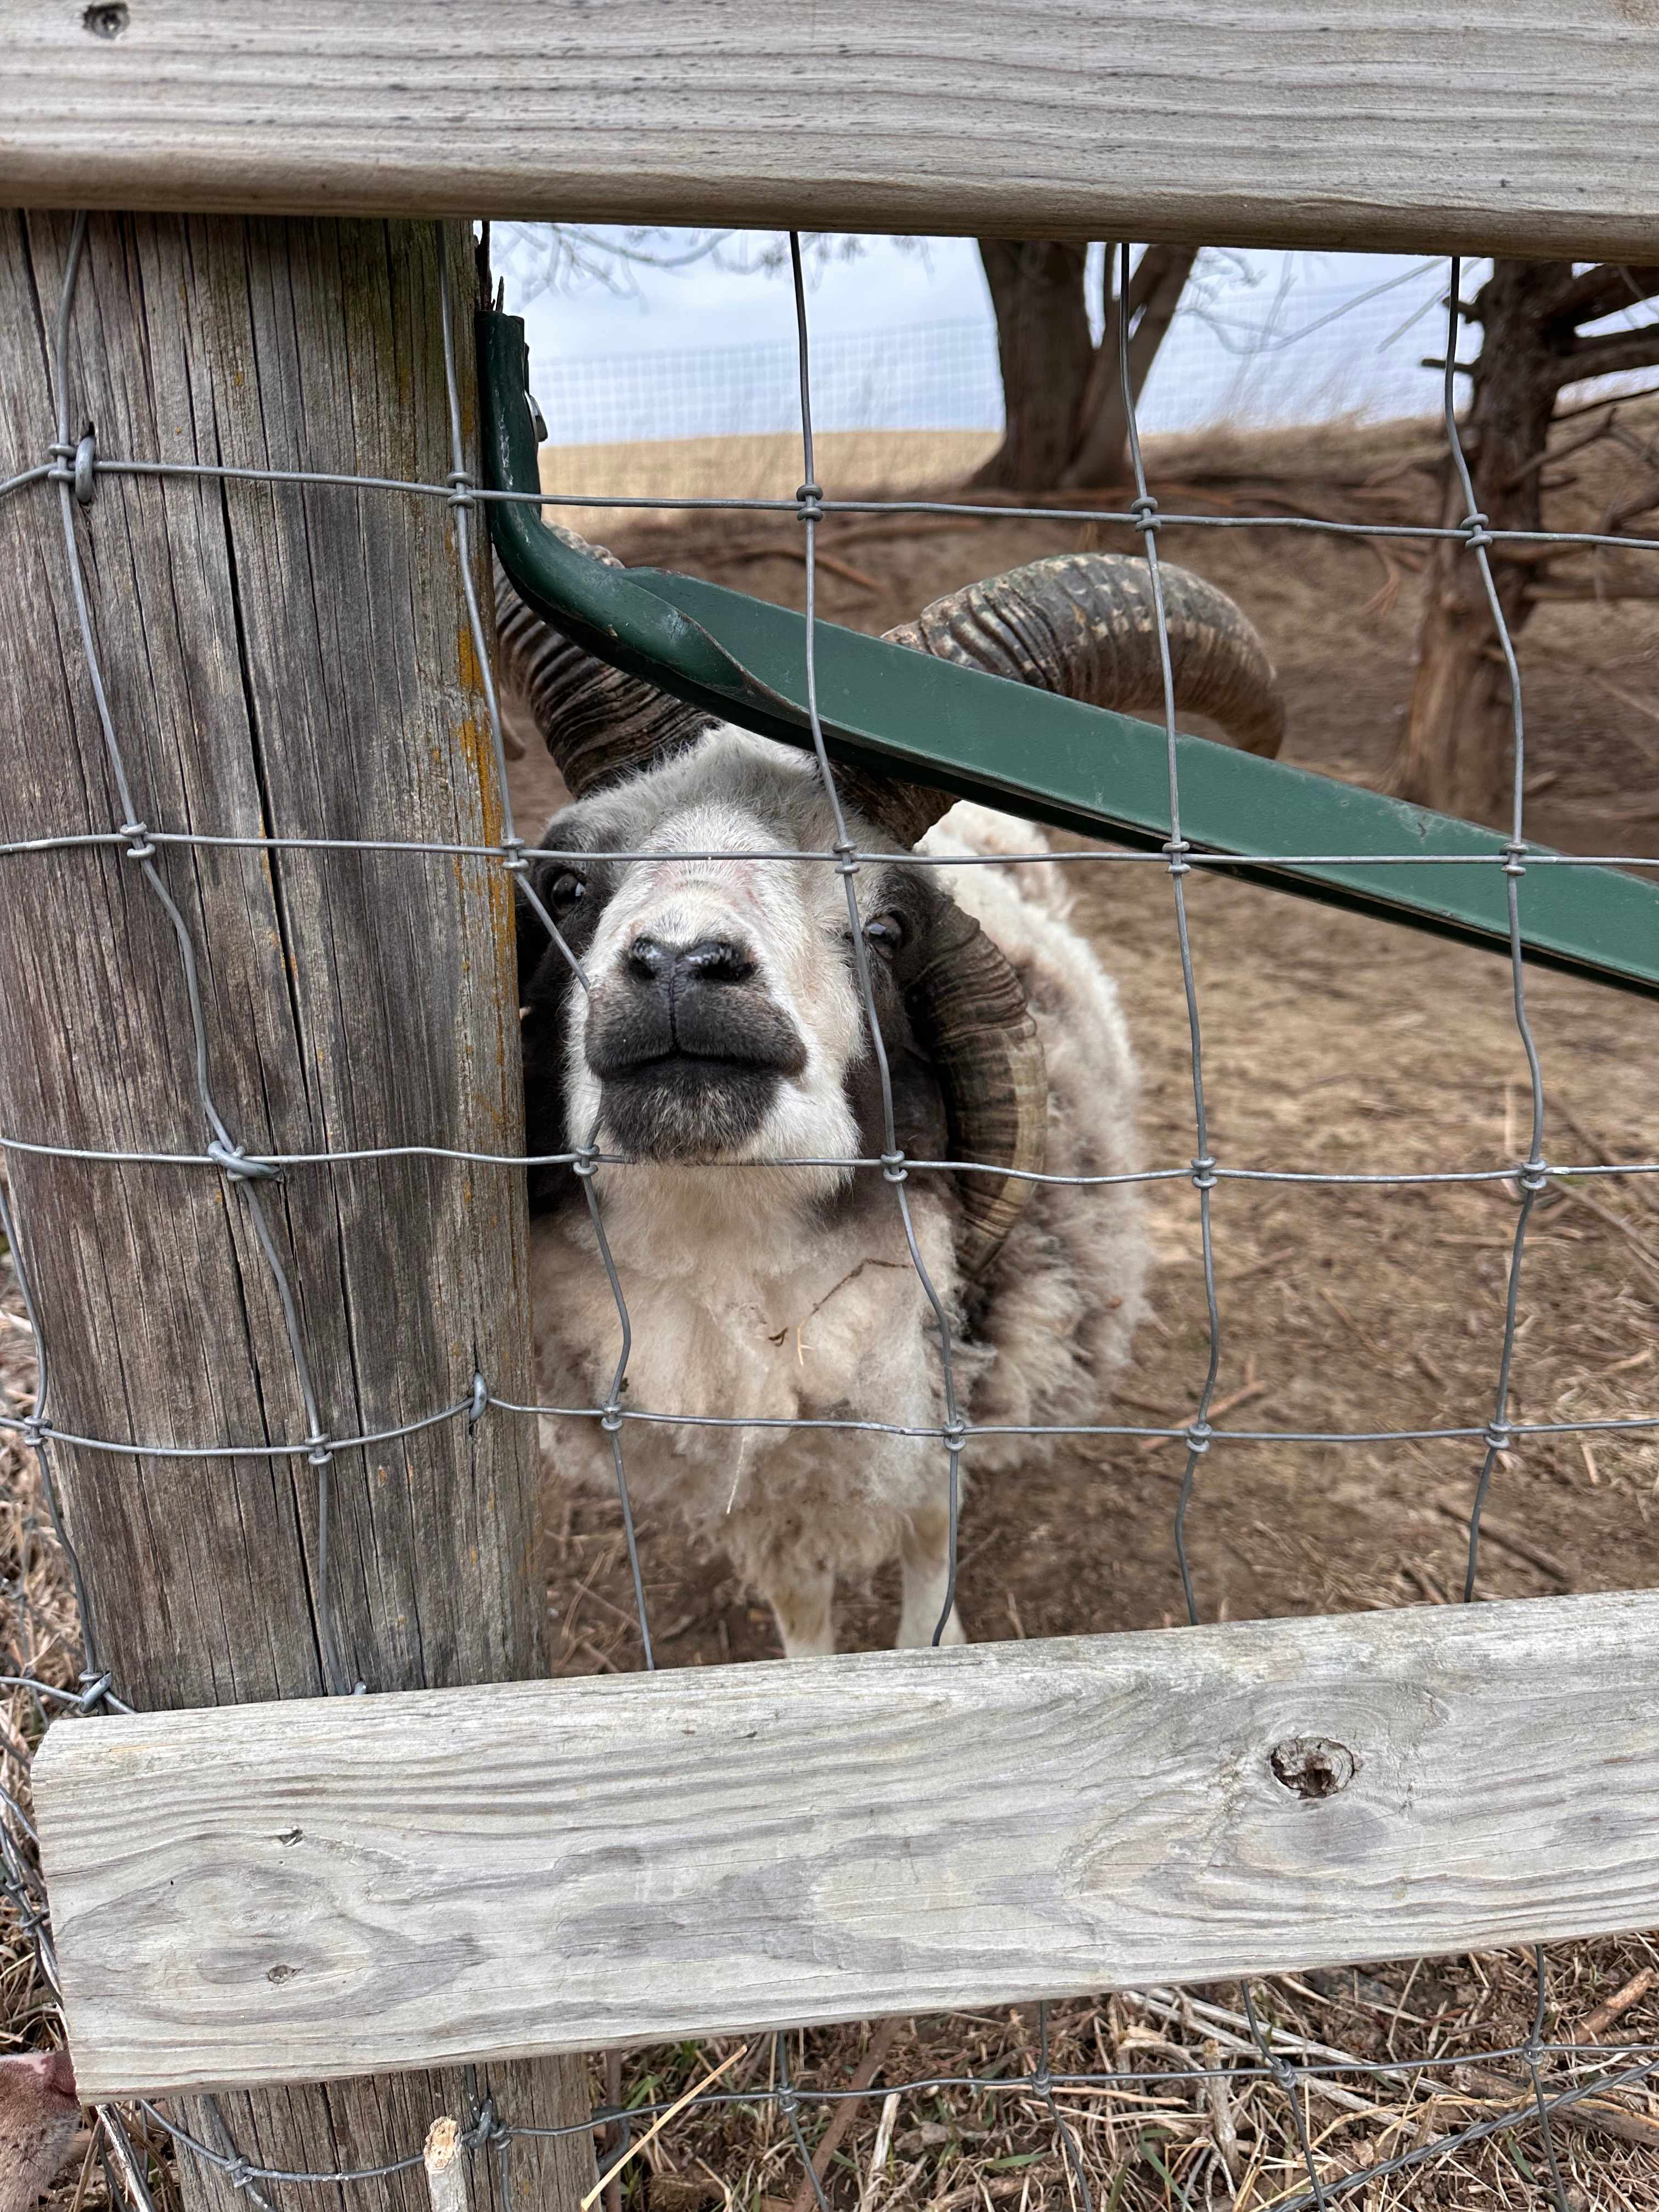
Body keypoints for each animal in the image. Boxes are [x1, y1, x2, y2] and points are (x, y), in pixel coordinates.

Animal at [500, 545, 1283, 1656]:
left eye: (885, 927)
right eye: (567, 886)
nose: (682, 966)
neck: (737, 1272)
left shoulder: (936, 1415)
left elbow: (927, 1567)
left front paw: (934, 1649)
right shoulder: (771, 1494)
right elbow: (802, 1614)